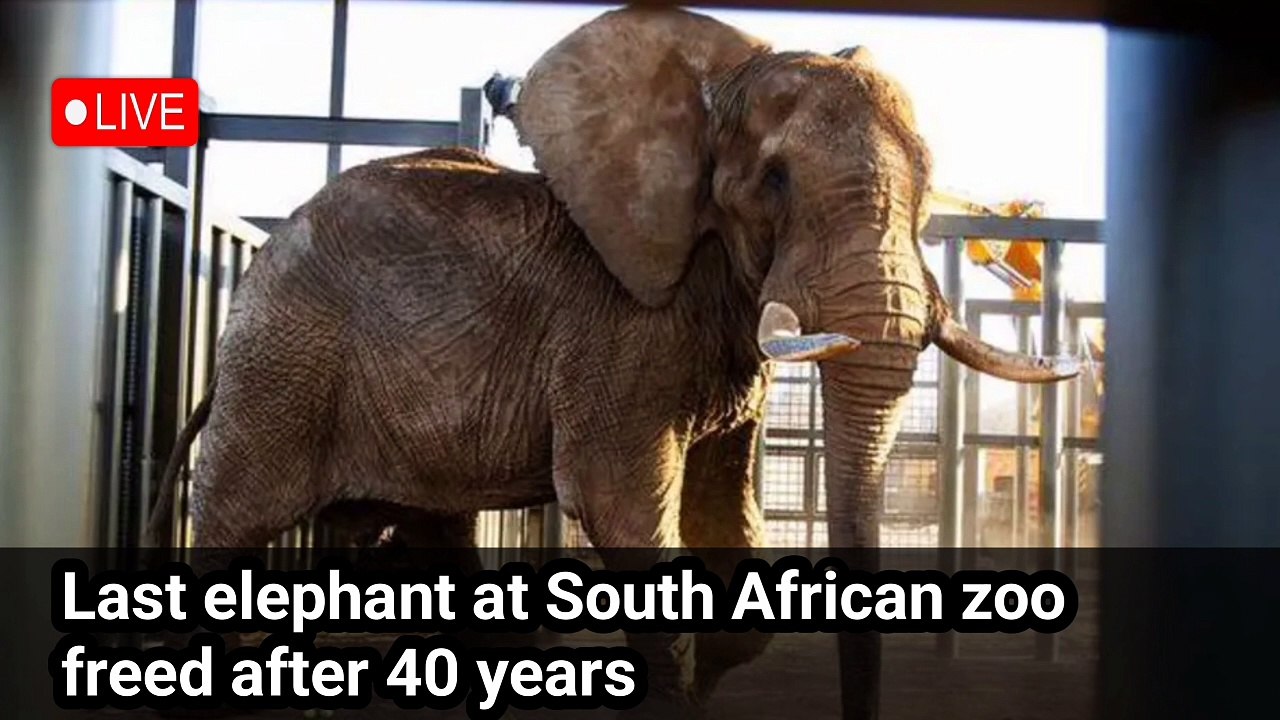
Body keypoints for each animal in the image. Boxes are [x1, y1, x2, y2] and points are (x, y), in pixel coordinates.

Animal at [148, 6, 1077, 717]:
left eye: (928, 182)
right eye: (775, 181)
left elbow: (724, 520)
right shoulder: (619, 326)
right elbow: (619, 506)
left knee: (411, 528)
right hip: (283, 360)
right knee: (235, 528)